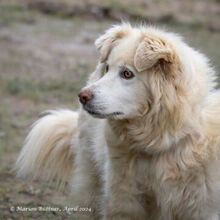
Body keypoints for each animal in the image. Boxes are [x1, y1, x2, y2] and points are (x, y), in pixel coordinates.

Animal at [15, 23, 220, 219]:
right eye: (107, 69)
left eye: (127, 74)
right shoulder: (123, 201)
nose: (82, 96)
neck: (161, 141)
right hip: (92, 178)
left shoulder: (200, 208)